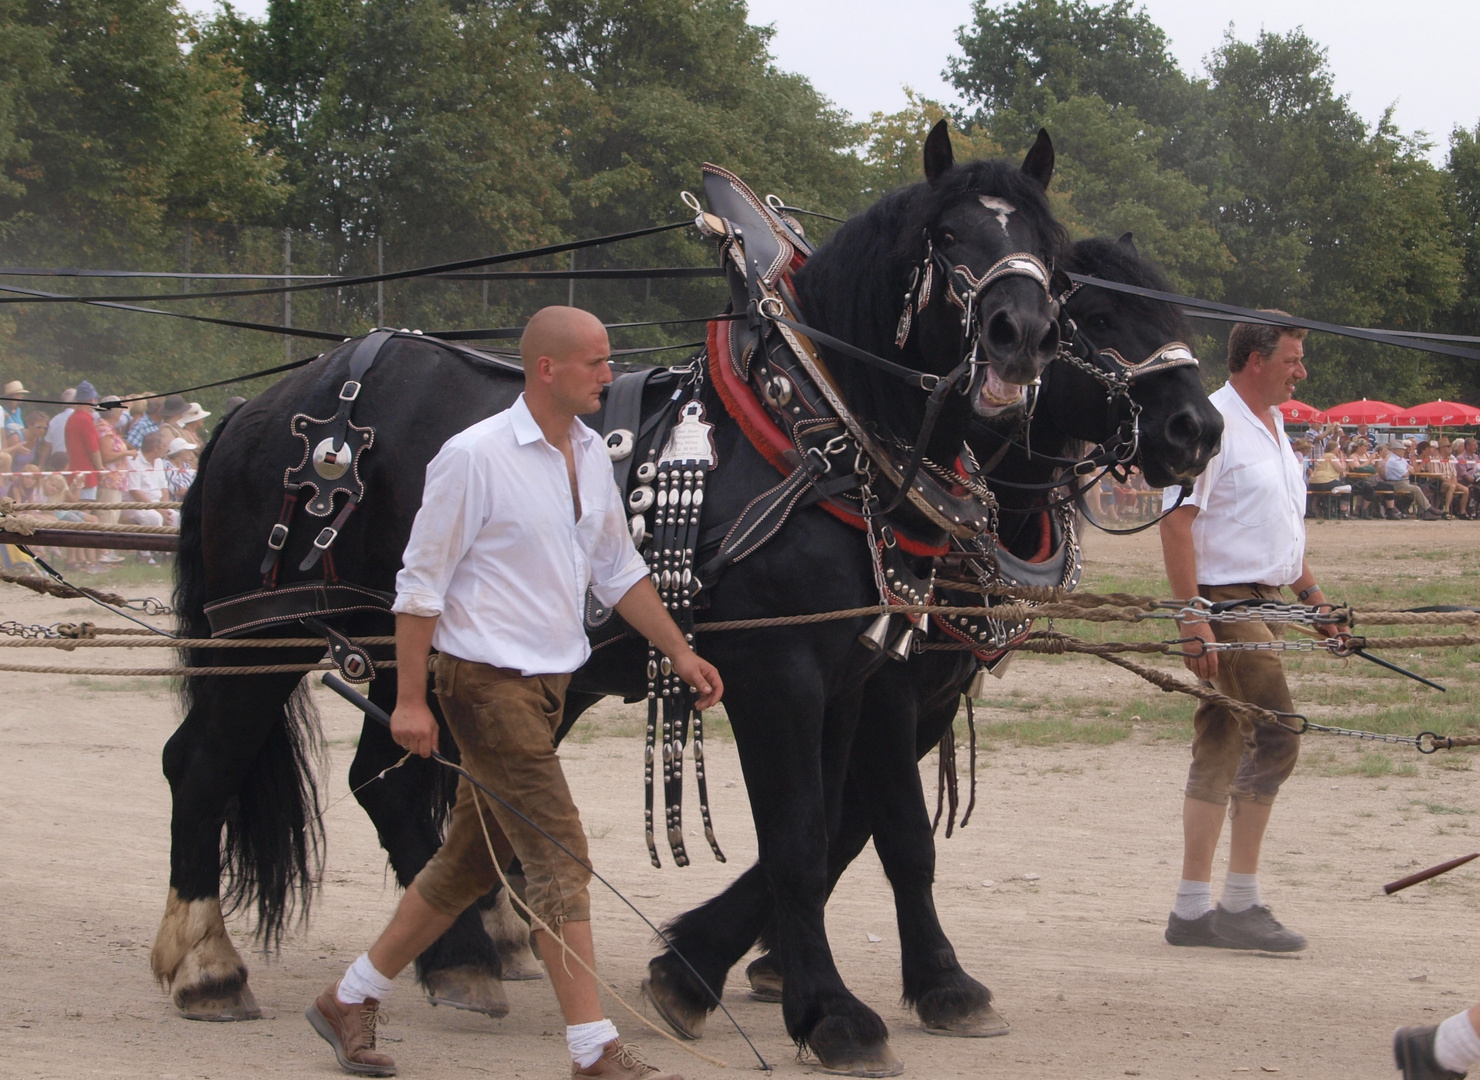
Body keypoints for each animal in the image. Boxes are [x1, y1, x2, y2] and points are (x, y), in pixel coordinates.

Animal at [150, 126, 1071, 1071]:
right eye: (948, 237)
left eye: (1051, 245)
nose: (1022, 336)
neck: (811, 430)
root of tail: (265, 405)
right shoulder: (779, 673)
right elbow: (803, 841)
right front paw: (829, 1011)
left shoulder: (854, 679)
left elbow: (863, 829)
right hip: (262, 634)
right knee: (203, 764)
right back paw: (209, 967)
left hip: (401, 646)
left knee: (388, 783)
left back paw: (461, 957)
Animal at [636, 230, 1225, 1041]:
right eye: (1100, 318)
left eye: (1171, 311)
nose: (1199, 429)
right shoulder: (880, 689)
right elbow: (885, 828)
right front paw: (932, 981)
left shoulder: (924, 698)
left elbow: (848, 822)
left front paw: (731, 957)